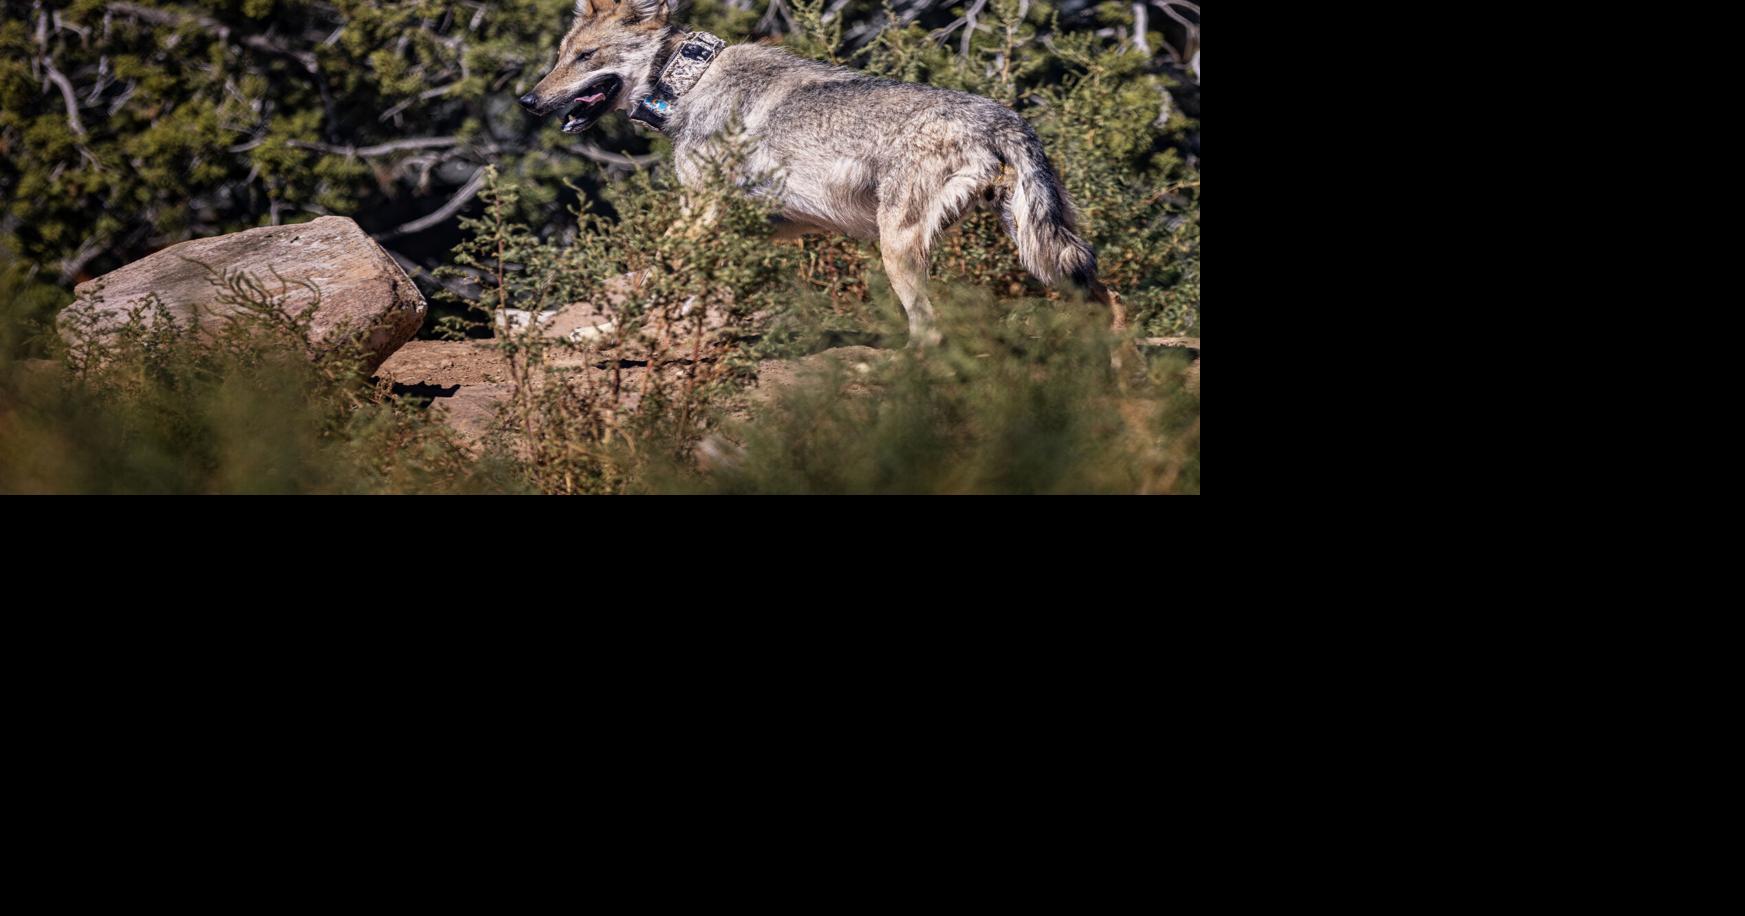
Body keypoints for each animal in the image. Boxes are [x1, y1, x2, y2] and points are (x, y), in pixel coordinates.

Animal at [518, 0, 1123, 346]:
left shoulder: (699, 215)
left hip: (901, 247)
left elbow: (649, 277)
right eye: (560, 55)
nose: (528, 101)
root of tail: (1005, 118)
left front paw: (594, 335)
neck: (691, 82)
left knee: (929, 332)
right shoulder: (746, 227)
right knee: (1111, 302)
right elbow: (680, 289)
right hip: (1039, 253)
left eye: (586, 57)